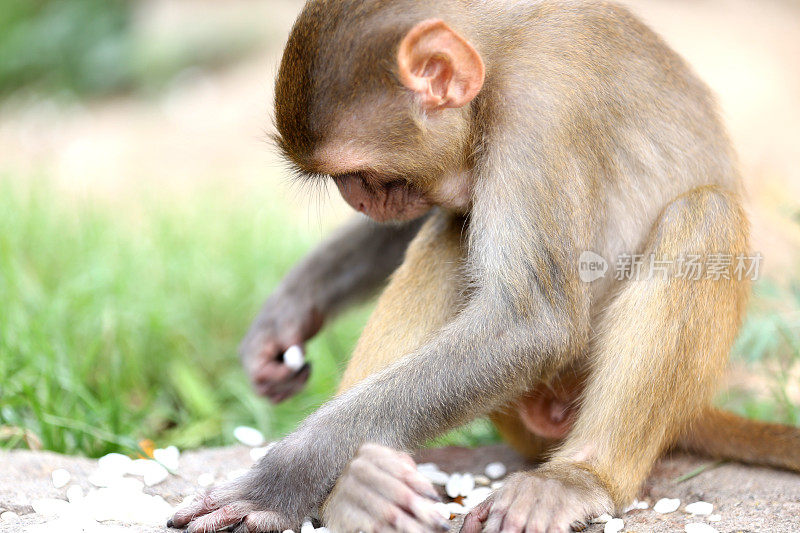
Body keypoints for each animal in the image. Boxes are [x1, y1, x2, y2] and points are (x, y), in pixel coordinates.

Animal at [170, 0, 800, 528]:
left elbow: (533, 323)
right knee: (451, 233)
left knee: (705, 214)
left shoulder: (539, 113)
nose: (357, 200)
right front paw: (291, 310)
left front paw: (283, 478)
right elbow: (425, 226)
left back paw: (582, 476)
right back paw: (359, 490)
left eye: (363, 176)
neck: (500, 51)